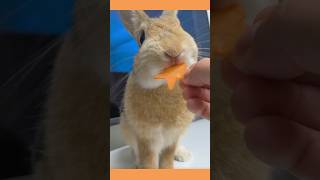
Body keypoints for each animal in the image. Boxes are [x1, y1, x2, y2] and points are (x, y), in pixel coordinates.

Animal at [118, 10, 196, 169]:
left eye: (180, 26)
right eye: (141, 37)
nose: (174, 51)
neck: (166, 86)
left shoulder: (173, 137)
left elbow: (167, 157)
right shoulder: (147, 139)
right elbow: (149, 162)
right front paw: (146, 167)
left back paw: (183, 155)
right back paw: (137, 164)